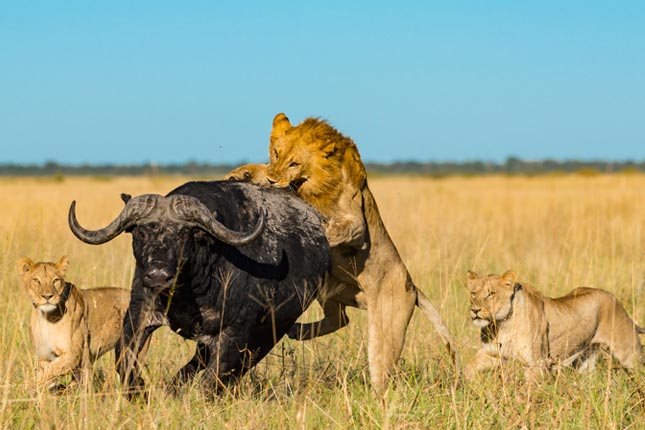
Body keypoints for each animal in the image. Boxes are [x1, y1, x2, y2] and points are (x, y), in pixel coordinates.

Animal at [18, 256, 131, 389]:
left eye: (55, 280)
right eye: (36, 280)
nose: (47, 296)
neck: (47, 319)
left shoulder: (74, 354)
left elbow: (51, 371)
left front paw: (27, 386)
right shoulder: (44, 355)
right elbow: (48, 372)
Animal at [226, 113, 458, 392]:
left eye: (294, 163)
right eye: (276, 153)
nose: (272, 180)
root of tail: (412, 285)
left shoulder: (356, 223)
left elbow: (333, 229)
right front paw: (245, 173)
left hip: (386, 328)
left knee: (380, 366)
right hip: (328, 287)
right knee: (339, 318)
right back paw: (297, 331)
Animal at [465, 270, 645, 381]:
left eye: (491, 294)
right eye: (473, 293)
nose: (475, 310)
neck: (502, 324)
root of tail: (615, 299)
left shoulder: (537, 363)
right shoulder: (492, 354)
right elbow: (469, 366)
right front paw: (465, 385)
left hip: (628, 353)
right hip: (585, 360)